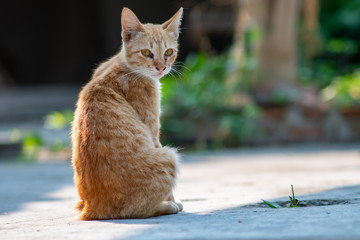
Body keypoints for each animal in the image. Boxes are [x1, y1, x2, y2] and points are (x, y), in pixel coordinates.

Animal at [71, 6, 183, 220]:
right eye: (146, 52)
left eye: (169, 52)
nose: (161, 67)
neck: (125, 65)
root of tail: (92, 208)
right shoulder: (154, 135)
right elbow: (170, 192)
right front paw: (173, 201)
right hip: (169, 157)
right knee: (134, 211)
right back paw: (166, 206)